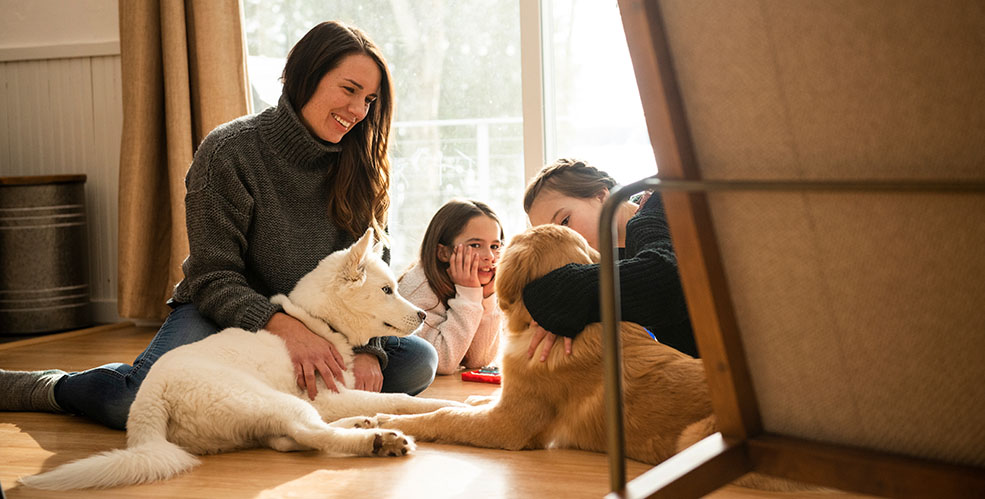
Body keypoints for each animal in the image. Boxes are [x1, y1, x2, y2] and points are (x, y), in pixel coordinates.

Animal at [22, 230, 462, 492]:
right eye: (387, 290)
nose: (422, 316)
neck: (321, 324)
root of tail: (148, 402)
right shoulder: (327, 395)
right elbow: (402, 399)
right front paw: (453, 405)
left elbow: (393, 399)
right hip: (270, 399)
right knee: (310, 433)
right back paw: (378, 441)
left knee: (288, 438)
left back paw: (364, 426)